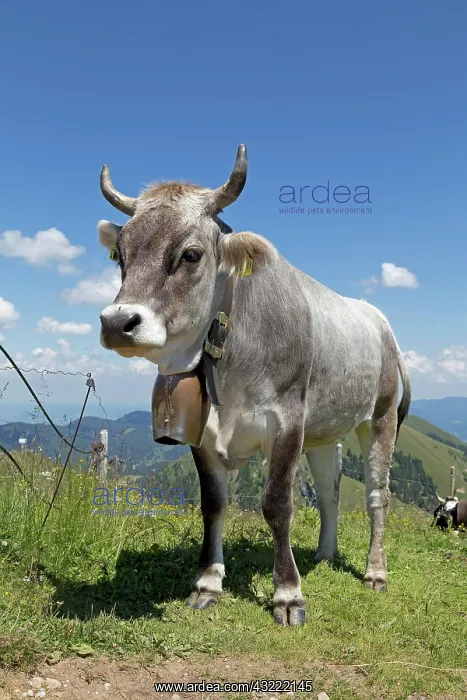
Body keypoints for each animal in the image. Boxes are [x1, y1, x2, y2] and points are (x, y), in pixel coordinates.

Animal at [97, 144, 411, 627]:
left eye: (191, 254)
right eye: (119, 255)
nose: (117, 323)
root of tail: (380, 322)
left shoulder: (287, 421)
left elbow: (278, 504)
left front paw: (288, 594)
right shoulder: (203, 432)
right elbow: (213, 504)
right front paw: (207, 583)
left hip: (380, 418)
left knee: (378, 495)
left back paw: (375, 572)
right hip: (324, 431)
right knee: (330, 492)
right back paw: (324, 554)